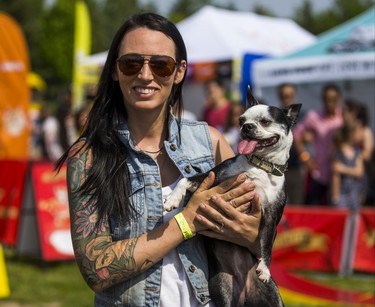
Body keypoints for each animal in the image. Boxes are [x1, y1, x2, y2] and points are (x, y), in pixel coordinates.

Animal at [165, 87, 302, 307]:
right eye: (241, 119)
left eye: (265, 121)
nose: (247, 127)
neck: (259, 166)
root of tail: (244, 292)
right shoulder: (210, 178)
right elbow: (185, 180)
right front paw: (172, 200)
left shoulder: (271, 216)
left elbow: (267, 243)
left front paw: (265, 267)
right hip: (223, 286)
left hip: (272, 297)